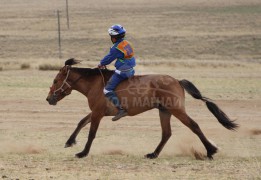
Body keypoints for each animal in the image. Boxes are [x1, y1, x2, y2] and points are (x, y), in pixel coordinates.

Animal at [45, 58, 237, 160]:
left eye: (55, 80)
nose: (48, 98)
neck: (95, 83)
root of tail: (177, 80)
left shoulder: (98, 114)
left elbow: (91, 133)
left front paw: (83, 152)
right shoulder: (96, 112)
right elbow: (81, 122)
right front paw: (70, 141)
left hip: (176, 110)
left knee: (194, 126)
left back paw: (210, 150)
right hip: (164, 111)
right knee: (166, 133)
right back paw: (153, 154)